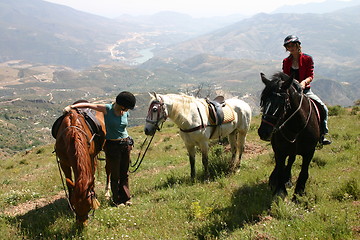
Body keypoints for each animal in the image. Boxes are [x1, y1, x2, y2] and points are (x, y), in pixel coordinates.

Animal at [258, 72, 320, 201]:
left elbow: (304, 172)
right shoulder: (280, 150)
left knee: (291, 160)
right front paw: (280, 191)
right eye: (263, 101)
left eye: (282, 103)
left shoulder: (309, 151)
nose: (263, 132)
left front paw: (299, 193)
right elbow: (280, 168)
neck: (296, 126)